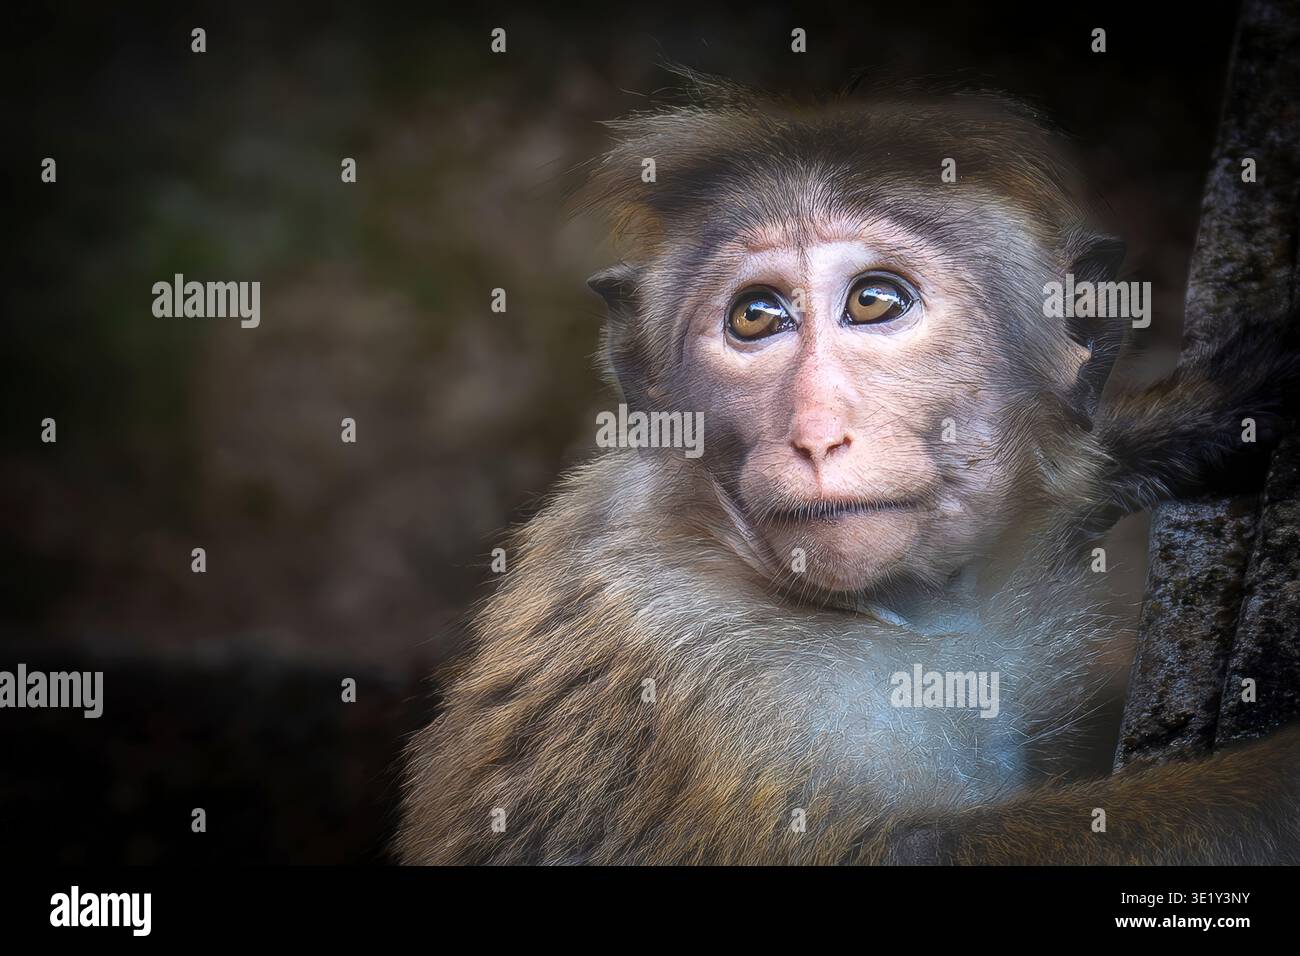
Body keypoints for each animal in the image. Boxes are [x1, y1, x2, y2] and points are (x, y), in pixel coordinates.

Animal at [397, 80, 1300, 865]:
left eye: (874, 301)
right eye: (756, 317)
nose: (816, 434)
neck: (895, 613)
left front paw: (1221, 409)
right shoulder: (696, 665)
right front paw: (1276, 781)